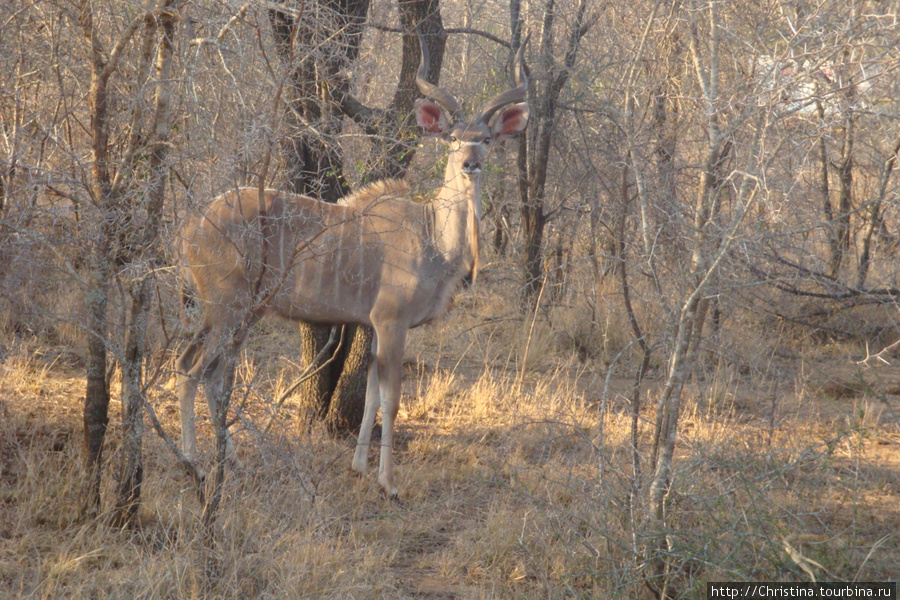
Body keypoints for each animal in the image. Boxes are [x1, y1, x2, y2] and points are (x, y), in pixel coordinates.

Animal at [174, 36, 528, 496]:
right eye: (452, 137)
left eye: (486, 138)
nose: (471, 163)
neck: (431, 235)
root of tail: (191, 224)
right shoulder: (391, 321)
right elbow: (392, 401)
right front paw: (388, 483)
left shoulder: (374, 326)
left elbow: (373, 397)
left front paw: (360, 467)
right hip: (228, 308)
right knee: (192, 370)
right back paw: (194, 465)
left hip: (240, 313)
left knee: (207, 373)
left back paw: (228, 458)